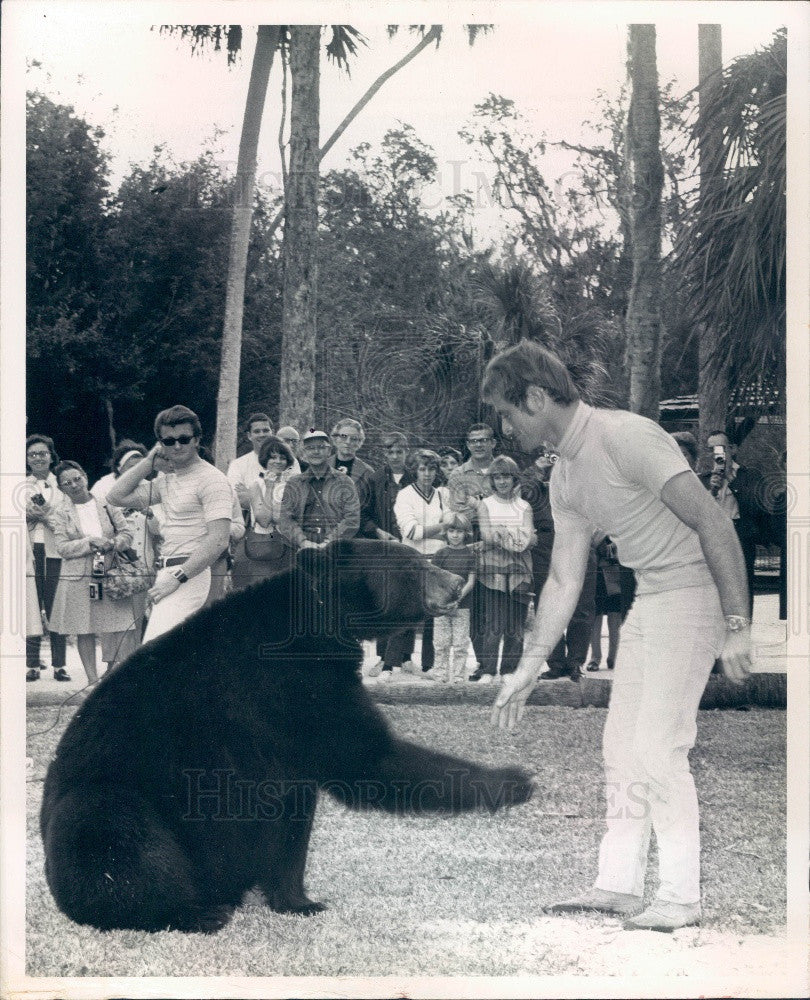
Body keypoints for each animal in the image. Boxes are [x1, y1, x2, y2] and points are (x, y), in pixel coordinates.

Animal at [41, 544, 532, 932]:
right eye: (412, 564)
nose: (457, 582)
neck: (320, 619)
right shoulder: (290, 686)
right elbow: (366, 758)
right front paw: (513, 781)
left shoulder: (286, 737)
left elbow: (294, 814)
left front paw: (299, 900)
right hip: (108, 805)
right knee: (117, 836)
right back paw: (194, 911)